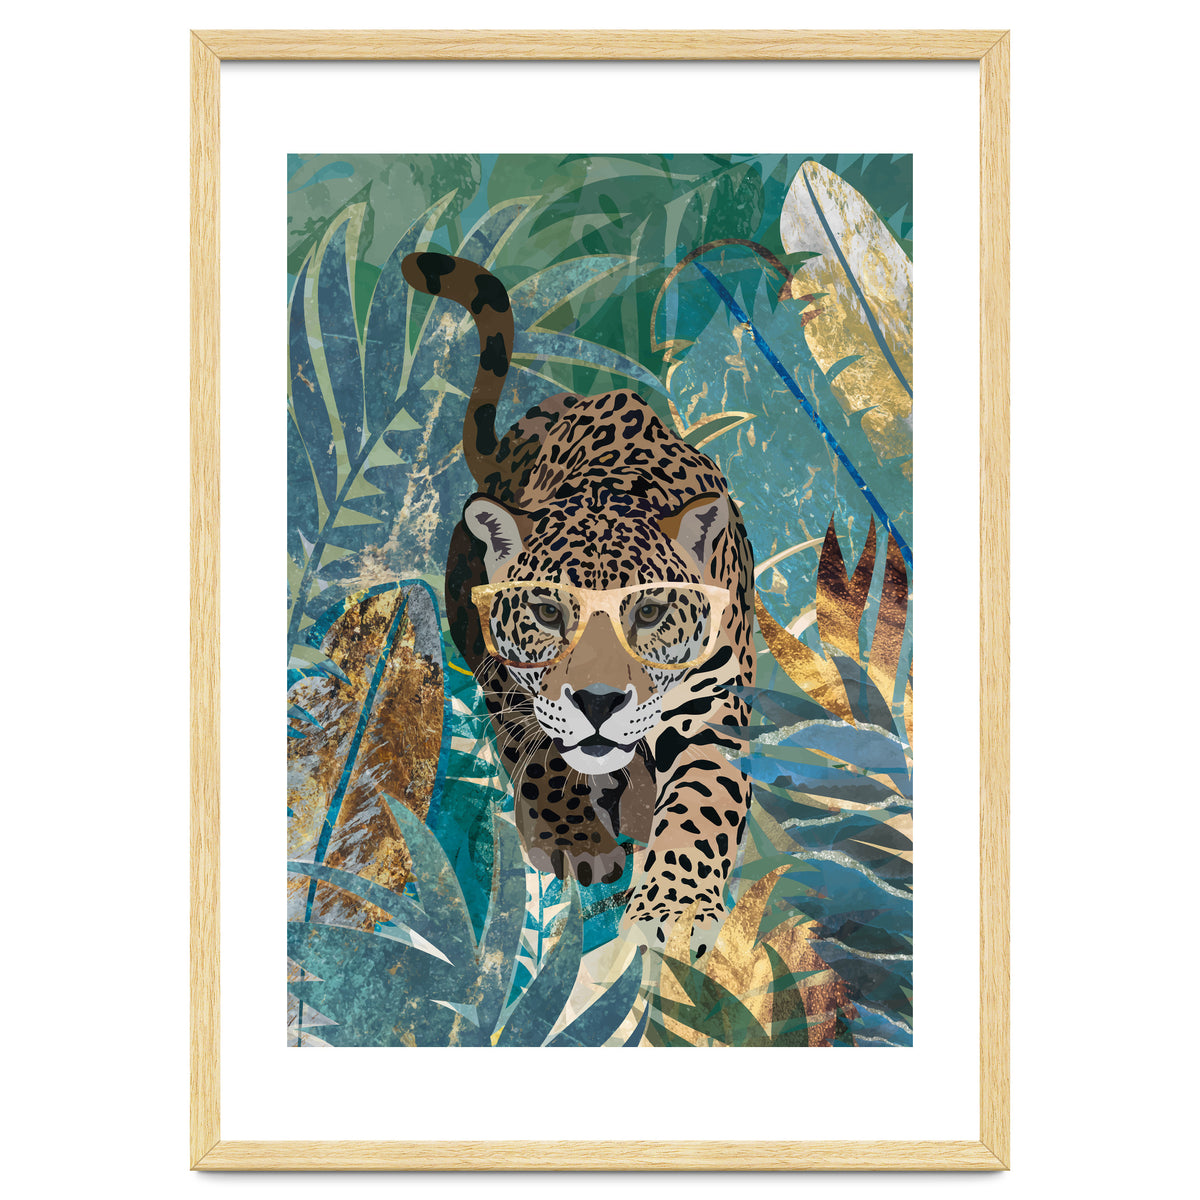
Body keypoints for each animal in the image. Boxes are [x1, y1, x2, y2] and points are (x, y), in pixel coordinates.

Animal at [400, 251, 756, 957]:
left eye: (648, 613)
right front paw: (573, 839)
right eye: (546, 612)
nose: (597, 703)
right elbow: (539, 750)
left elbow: (702, 802)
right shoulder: (507, 674)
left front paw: (673, 910)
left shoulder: (713, 707)